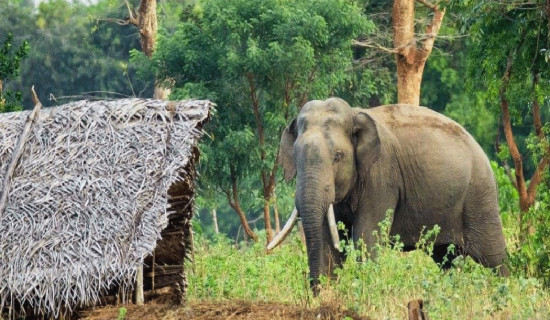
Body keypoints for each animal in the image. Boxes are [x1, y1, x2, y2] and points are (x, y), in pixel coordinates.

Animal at [270, 97, 512, 292]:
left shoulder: (381, 176)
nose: (314, 292)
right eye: (295, 155)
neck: (354, 114)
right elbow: (327, 241)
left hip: (479, 195)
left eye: (338, 156)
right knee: (446, 259)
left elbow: (366, 237)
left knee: (493, 257)